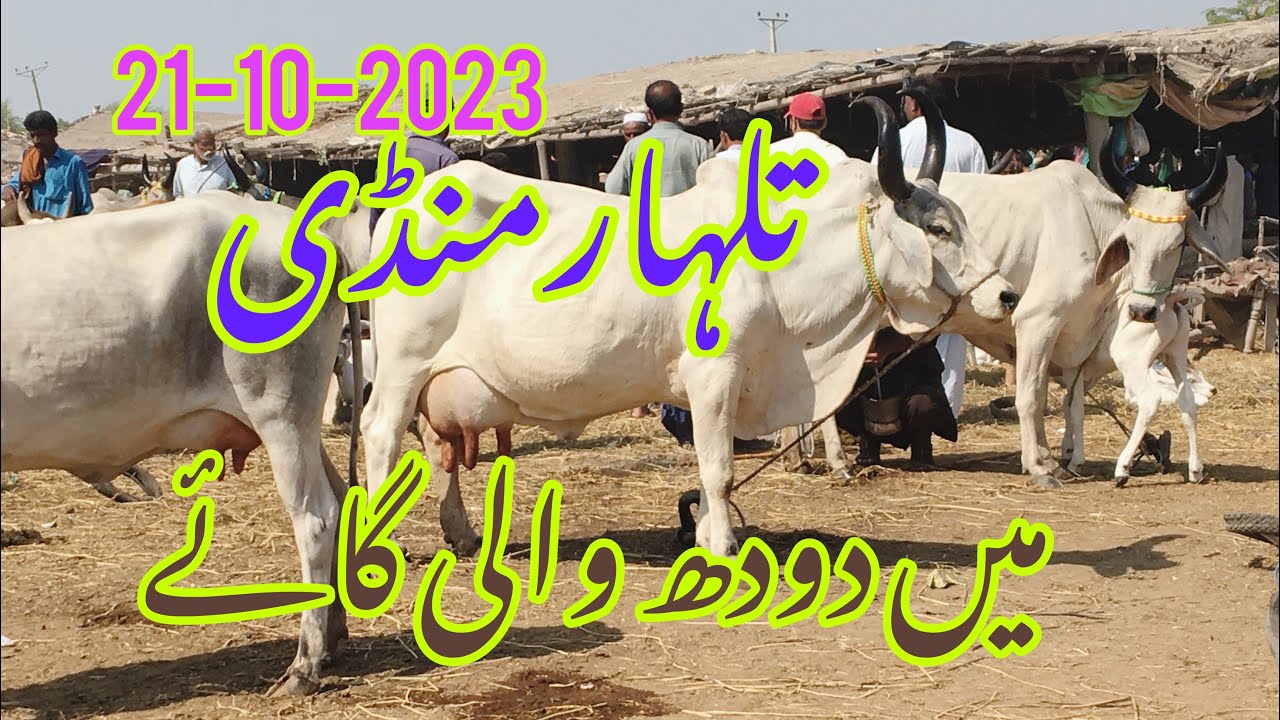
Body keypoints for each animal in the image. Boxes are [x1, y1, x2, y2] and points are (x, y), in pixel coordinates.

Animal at [0, 190, 364, 696]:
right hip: (302, 423)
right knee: (342, 499)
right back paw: (331, 642)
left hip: (280, 415)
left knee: (316, 518)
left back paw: (304, 666)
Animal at [357, 91, 1018, 558]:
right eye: (938, 229)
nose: (1007, 295)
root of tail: (407, 202)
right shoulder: (713, 377)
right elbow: (718, 469)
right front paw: (721, 543)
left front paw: (704, 532)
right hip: (401, 366)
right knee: (380, 436)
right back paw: (378, 542)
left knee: (436, 448)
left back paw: (462, 534)